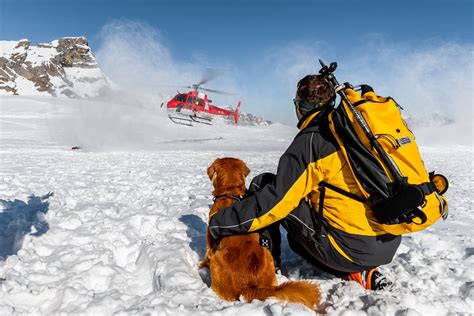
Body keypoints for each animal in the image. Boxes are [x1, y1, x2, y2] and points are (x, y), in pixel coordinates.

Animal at [198, 157, 320, 310]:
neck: (231, 193)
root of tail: (251, 287)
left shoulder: (210, 239)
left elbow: (206, 254)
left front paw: (201, 264)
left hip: (217, 260)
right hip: (267, 253)